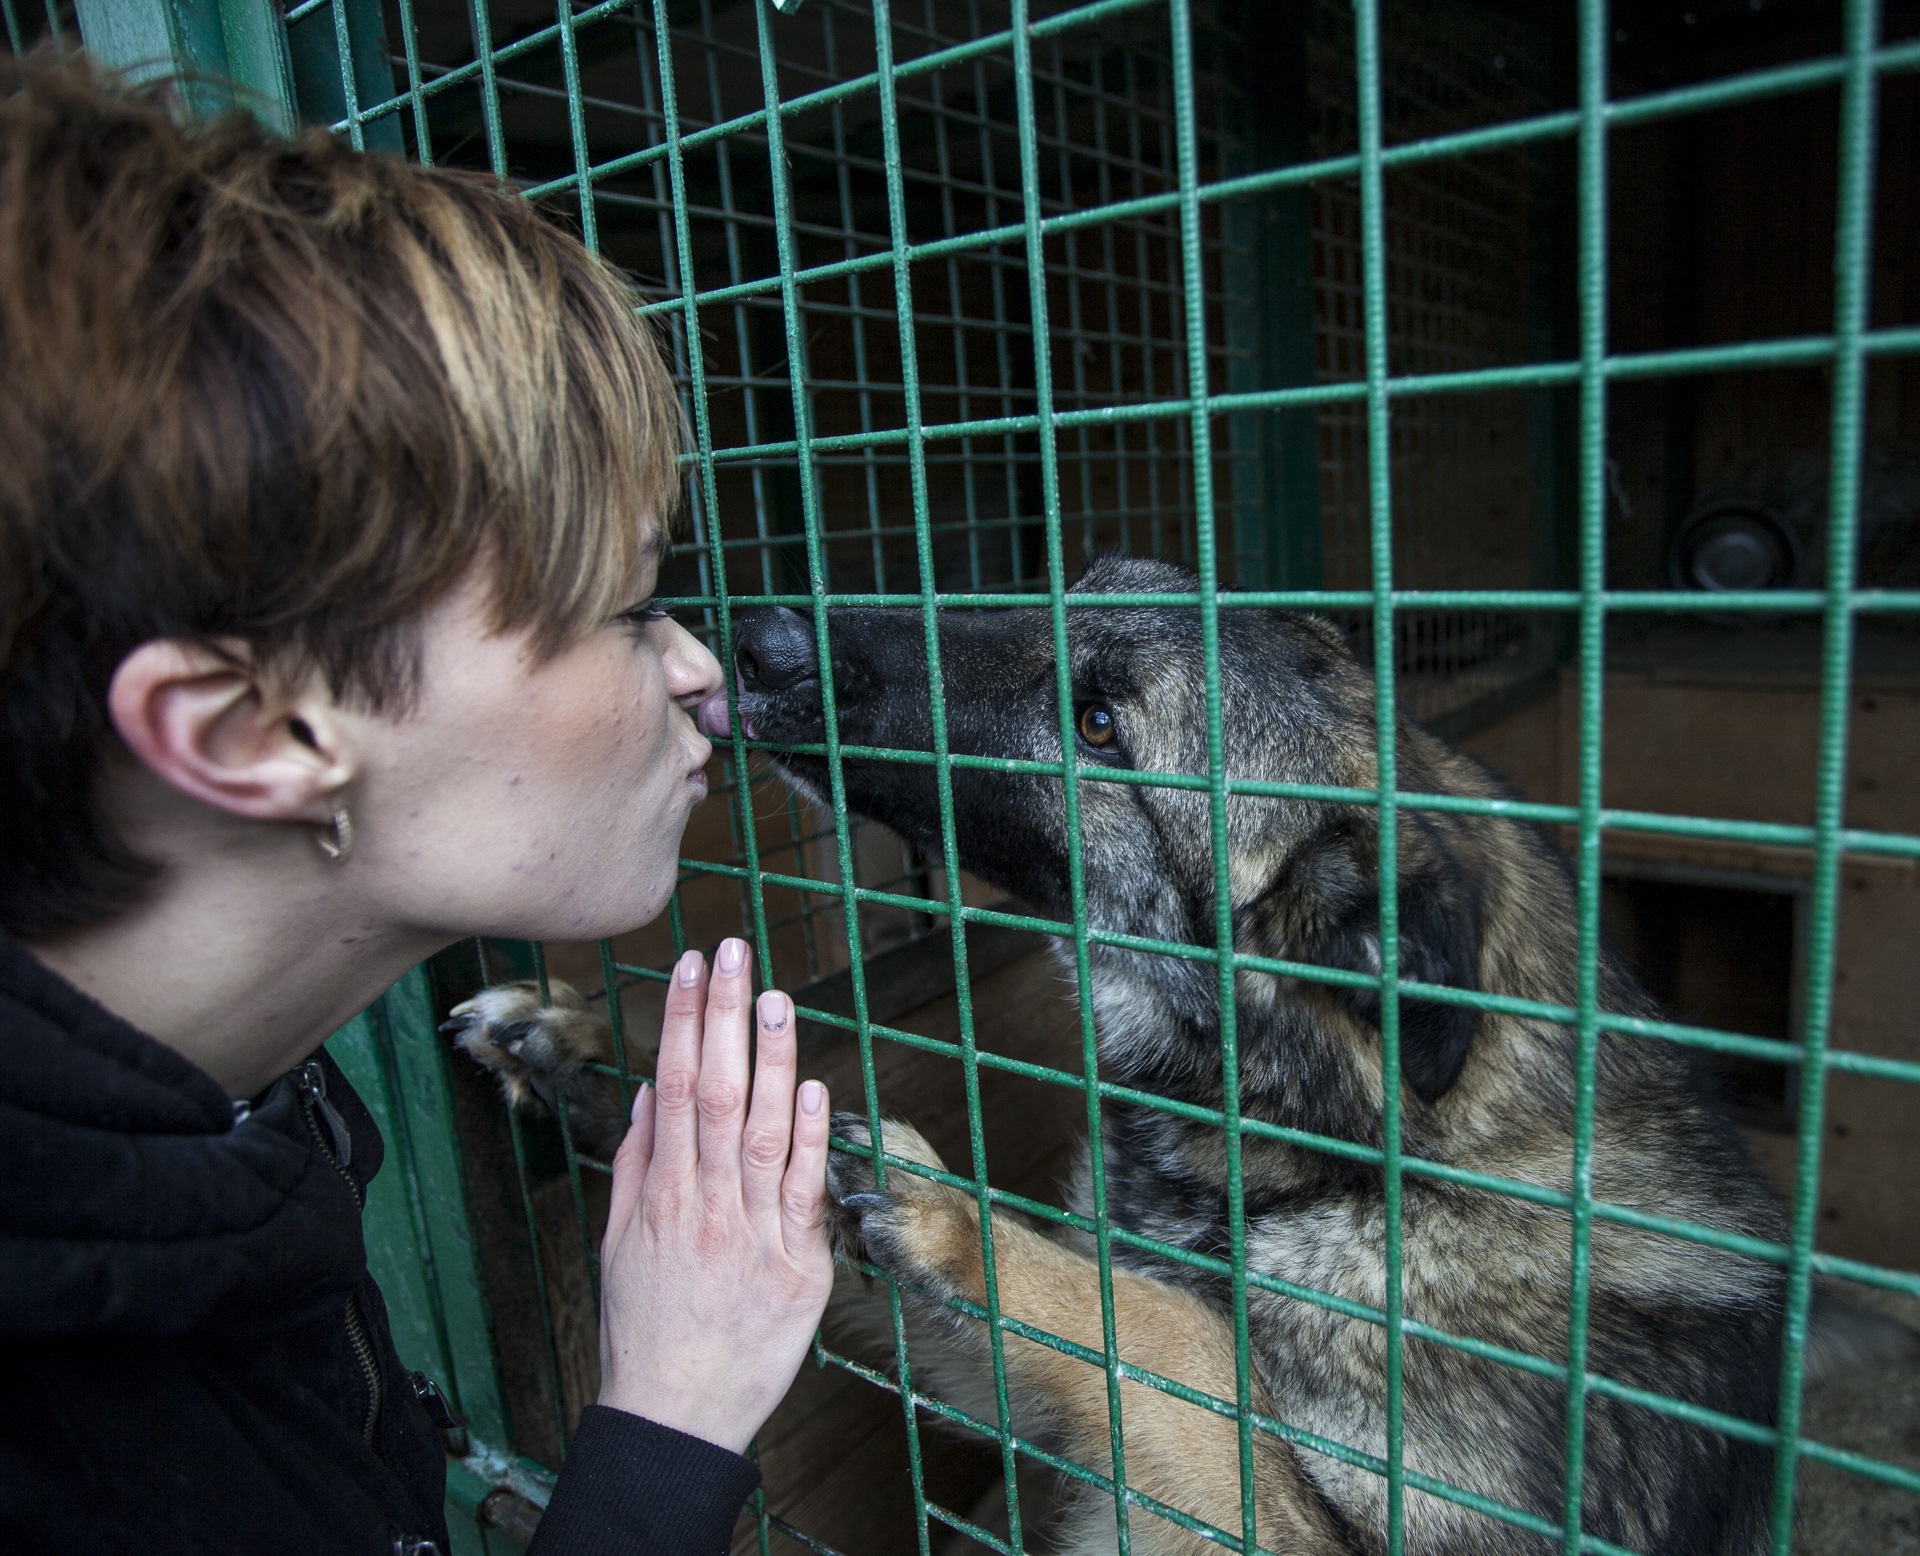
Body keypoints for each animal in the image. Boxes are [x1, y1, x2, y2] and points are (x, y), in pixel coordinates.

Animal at [449, 557, 1904, 1552]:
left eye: (1101, 725)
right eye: (1053, 593)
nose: (754, 639)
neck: (1345, 1167)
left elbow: (1185, 1351)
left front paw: (966, 1225)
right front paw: (611, 1058)